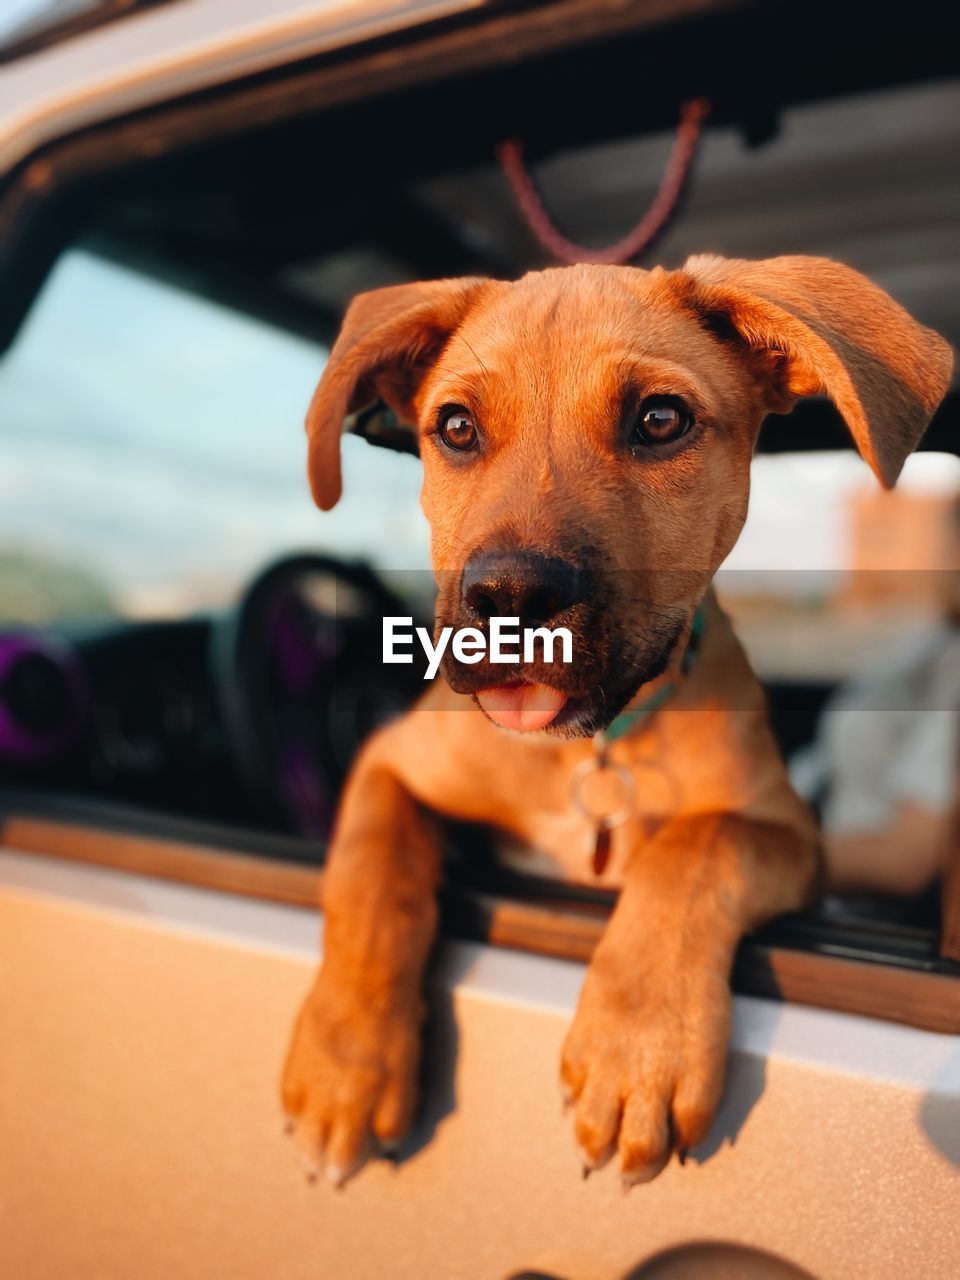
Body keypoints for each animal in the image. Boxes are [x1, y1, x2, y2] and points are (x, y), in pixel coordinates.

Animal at [280, 257, 957, 1187]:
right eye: (455, 427)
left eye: (660, 420)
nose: (510, 598)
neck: (589, 751)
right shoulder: (392, 760)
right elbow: (368, 875)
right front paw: (343, 1064)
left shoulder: (790, 833)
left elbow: (694, 848)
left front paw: (638, 1049)